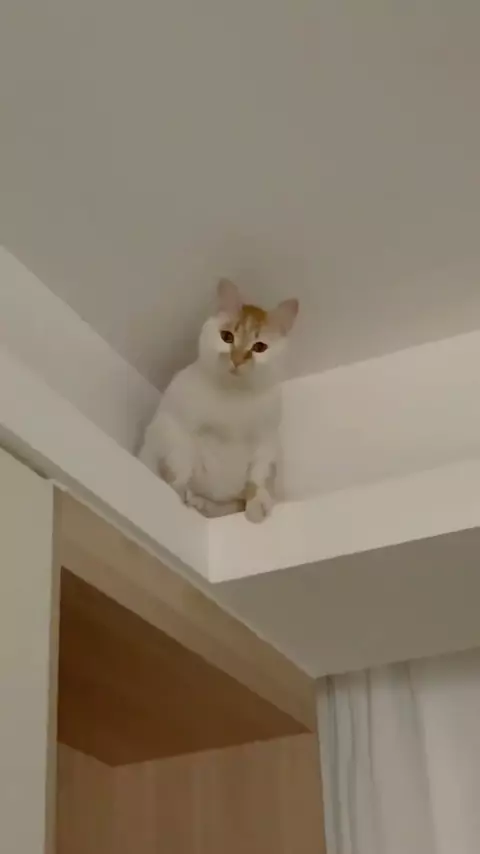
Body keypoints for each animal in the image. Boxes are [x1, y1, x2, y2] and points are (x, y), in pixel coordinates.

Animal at [138, 278, 298, 522]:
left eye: (260, 347)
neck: (233, 398)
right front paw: (179, 489)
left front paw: (257, 505)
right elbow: (181, 464)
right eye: (227, 337)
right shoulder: (175, 426)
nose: (237, 359)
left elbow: (257, 479)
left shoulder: (267, 445)